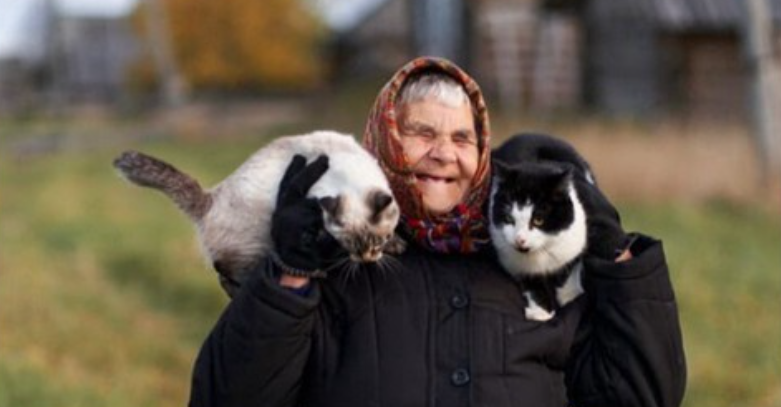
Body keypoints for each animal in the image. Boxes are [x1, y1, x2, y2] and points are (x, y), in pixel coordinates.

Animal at [113, 130, 402, 298]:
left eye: (378, 240)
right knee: (229, 273)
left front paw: (396, 245)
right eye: (352, 245)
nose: (367, 259)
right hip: (256, 244)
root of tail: (210, 198)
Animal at [489, 133, 596, 321]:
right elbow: (531, 280)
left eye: (538, 220)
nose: (520, 240)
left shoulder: (576, 237)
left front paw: (569, 294)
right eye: (508, 219)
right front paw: (541, 312)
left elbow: (571, 266)